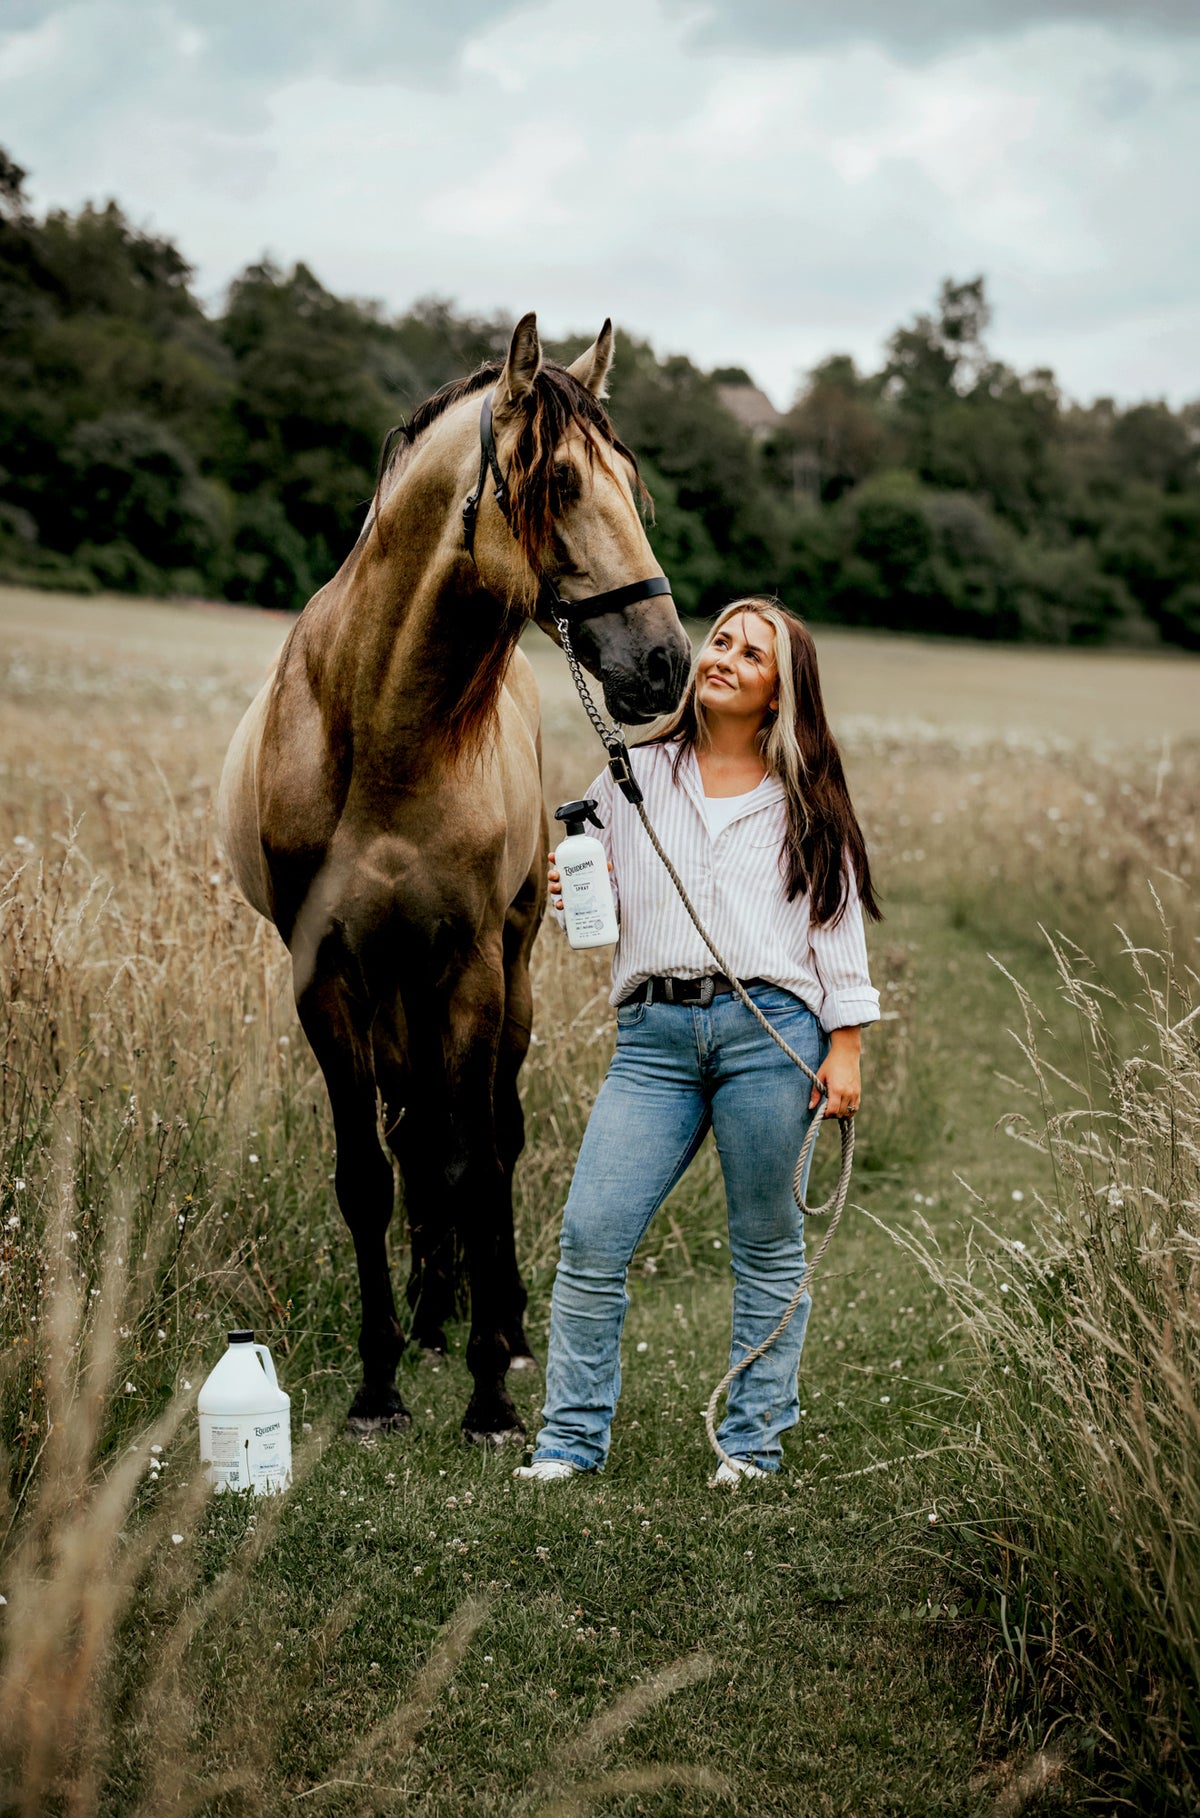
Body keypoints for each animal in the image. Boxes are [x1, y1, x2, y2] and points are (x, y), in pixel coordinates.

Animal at [217, 313, 690, 1443]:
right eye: (560, 479)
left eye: (632, 478)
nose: (666, 665)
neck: (385, 731)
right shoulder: (325, 978)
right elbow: (368, 1173)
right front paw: (378, 1382)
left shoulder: (471, 964)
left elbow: (476, 1160)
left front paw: (487, 1395)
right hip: (395, 987)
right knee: (413, 1127)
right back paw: (431, 1313)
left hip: (502, 968)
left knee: (491, 1135)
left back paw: (499, 1325)